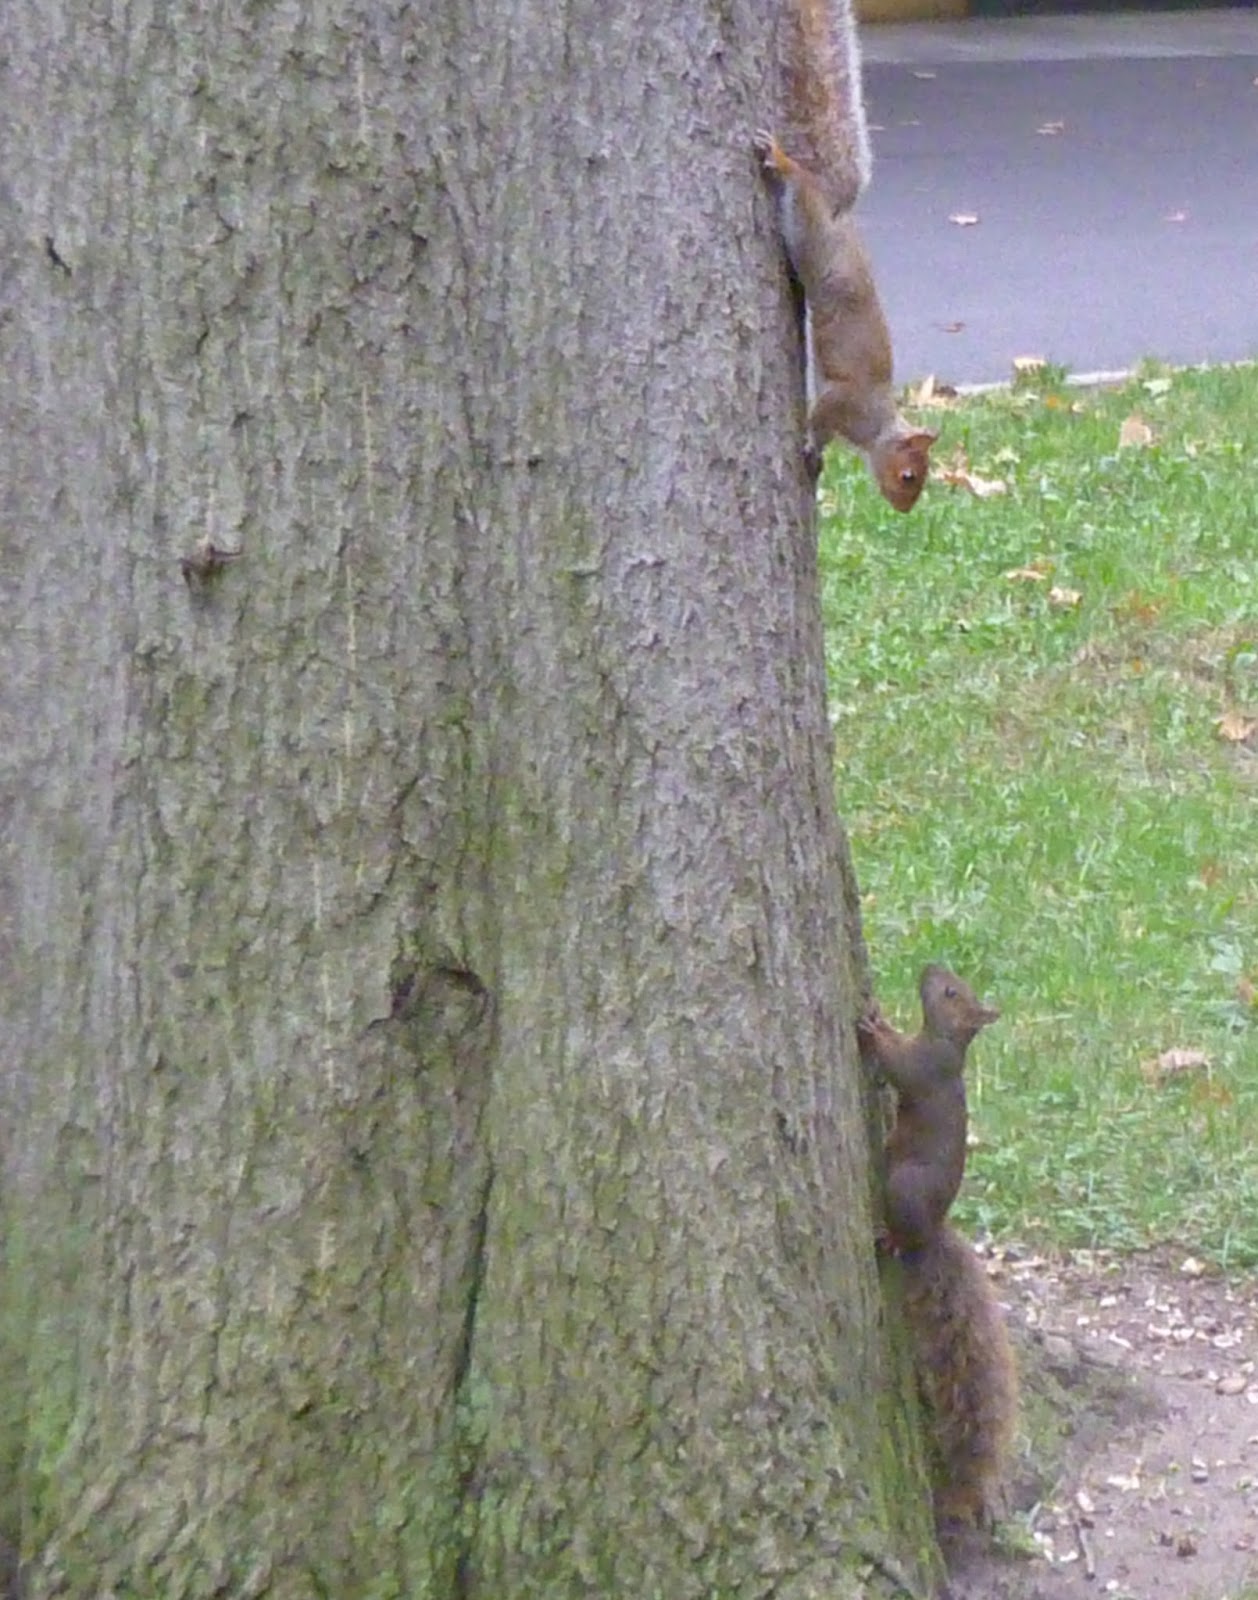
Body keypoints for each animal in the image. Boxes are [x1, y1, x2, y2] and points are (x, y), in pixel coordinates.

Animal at [754, 0, 937, 512]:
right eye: (909, 475)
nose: (905, 510)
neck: (875, 425)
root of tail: (835, 205)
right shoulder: (842, 403)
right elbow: (819, 421)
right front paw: (811, 448)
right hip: (808, 228)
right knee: (796, 181)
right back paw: (781, 159)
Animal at [858, 965, 1017, 1529]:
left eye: (949, 992)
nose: (930, 966)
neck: (949, 1043)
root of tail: (931, 1234)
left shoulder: (923, 1067)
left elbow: (899, 1064)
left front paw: (875, 1026)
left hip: (902, 1188)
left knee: (899, 1232)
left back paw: (888, 1237)